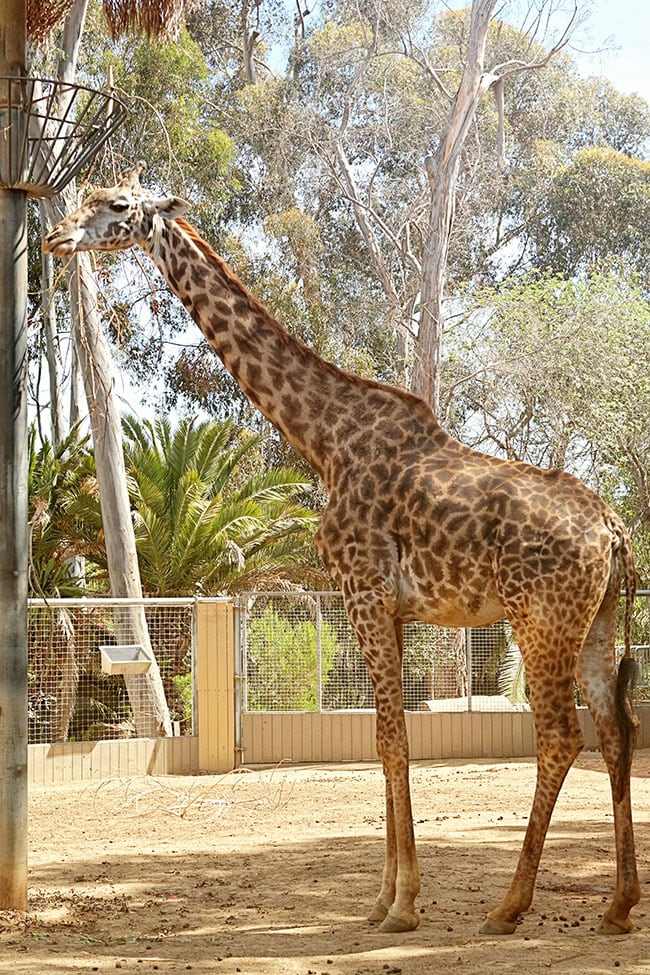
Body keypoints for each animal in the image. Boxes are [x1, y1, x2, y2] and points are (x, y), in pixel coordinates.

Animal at [44, 166, 636, 936]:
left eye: (115, 205)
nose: (55, 237)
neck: (324, 440)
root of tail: (615, 530)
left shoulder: (364, 592)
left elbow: (389, 739)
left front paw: (404, 906)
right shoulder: (389, 609)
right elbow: (387, 740)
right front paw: (382, 898)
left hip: (541, 619)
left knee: (562, 735)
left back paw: (508, 906)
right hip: (596, 621)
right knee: (617, 729)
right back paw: (618, 905)